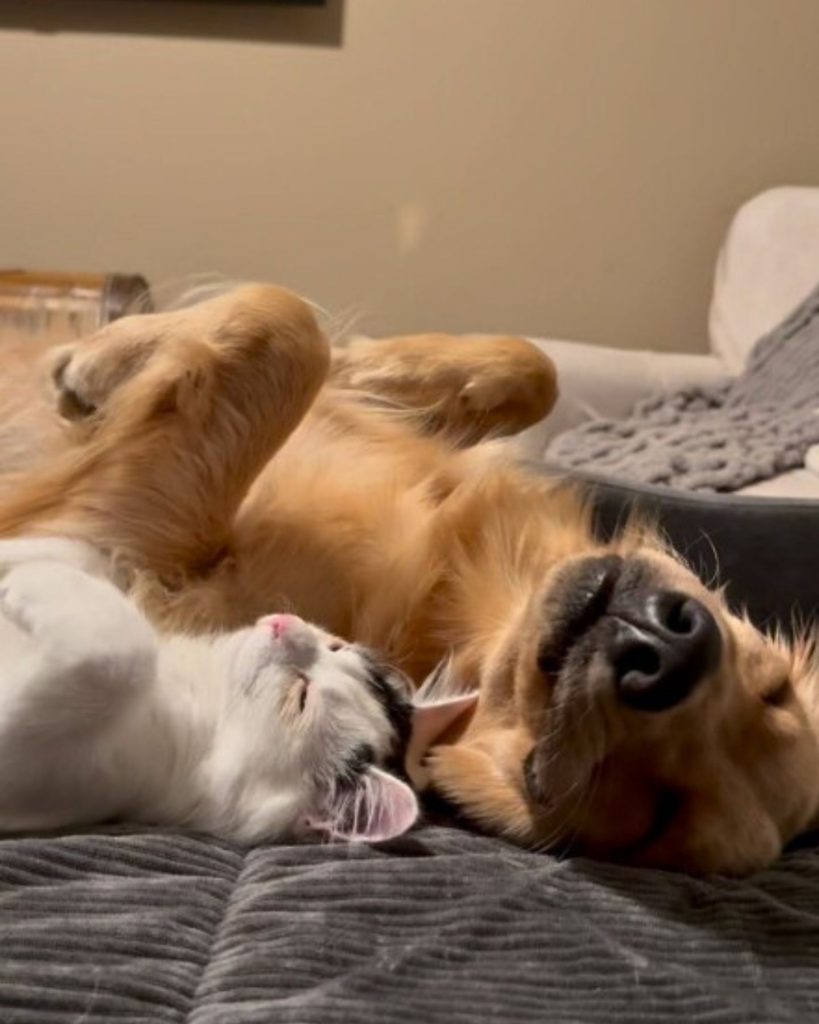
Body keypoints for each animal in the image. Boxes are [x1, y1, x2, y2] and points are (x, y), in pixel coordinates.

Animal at [0, 540, 472, 843]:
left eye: (301, 698)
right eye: (335, 646)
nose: (284, 624)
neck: (196, 683)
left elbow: (123, 648)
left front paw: (22, 583)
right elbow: (79, 550)